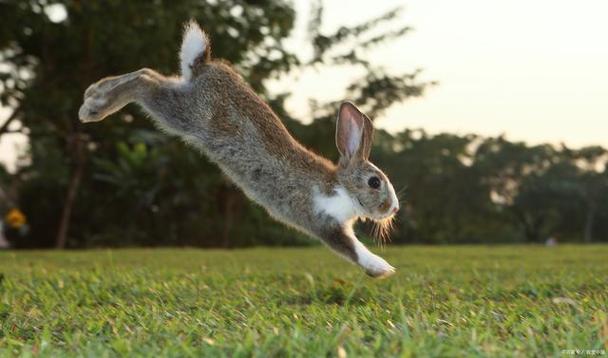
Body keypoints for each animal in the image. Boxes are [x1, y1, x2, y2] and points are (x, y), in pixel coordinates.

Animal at [79, 20, 400, 276]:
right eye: (375, 182)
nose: (393, 208)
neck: (341, 186)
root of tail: (205, 65)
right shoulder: (323, 222)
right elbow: (352, 248)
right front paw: (382, 268)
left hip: (181, 94)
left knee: (148, 73)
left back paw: (93, 93)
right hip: (183, 113)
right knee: (144, 82)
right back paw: (93, 109)